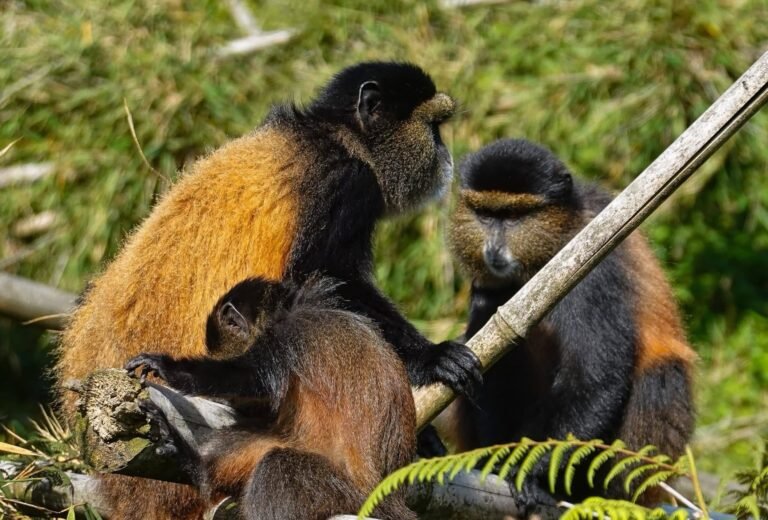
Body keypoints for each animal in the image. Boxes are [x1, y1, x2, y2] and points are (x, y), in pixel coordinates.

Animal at [125, 275, 417, 520]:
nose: (233, 404)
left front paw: (167, 366)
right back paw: (191, 462)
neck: (288, 310)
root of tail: (393, 503)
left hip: (348, 495)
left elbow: (248, 378)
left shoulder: (287, 335)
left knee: (277, 467)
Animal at [438, 138, 696, 511]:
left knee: (659, 377)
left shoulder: (592, 270)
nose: (494, 250)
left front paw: (525, 471)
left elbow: (594, 379)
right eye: (485, 214)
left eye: (514, 217)